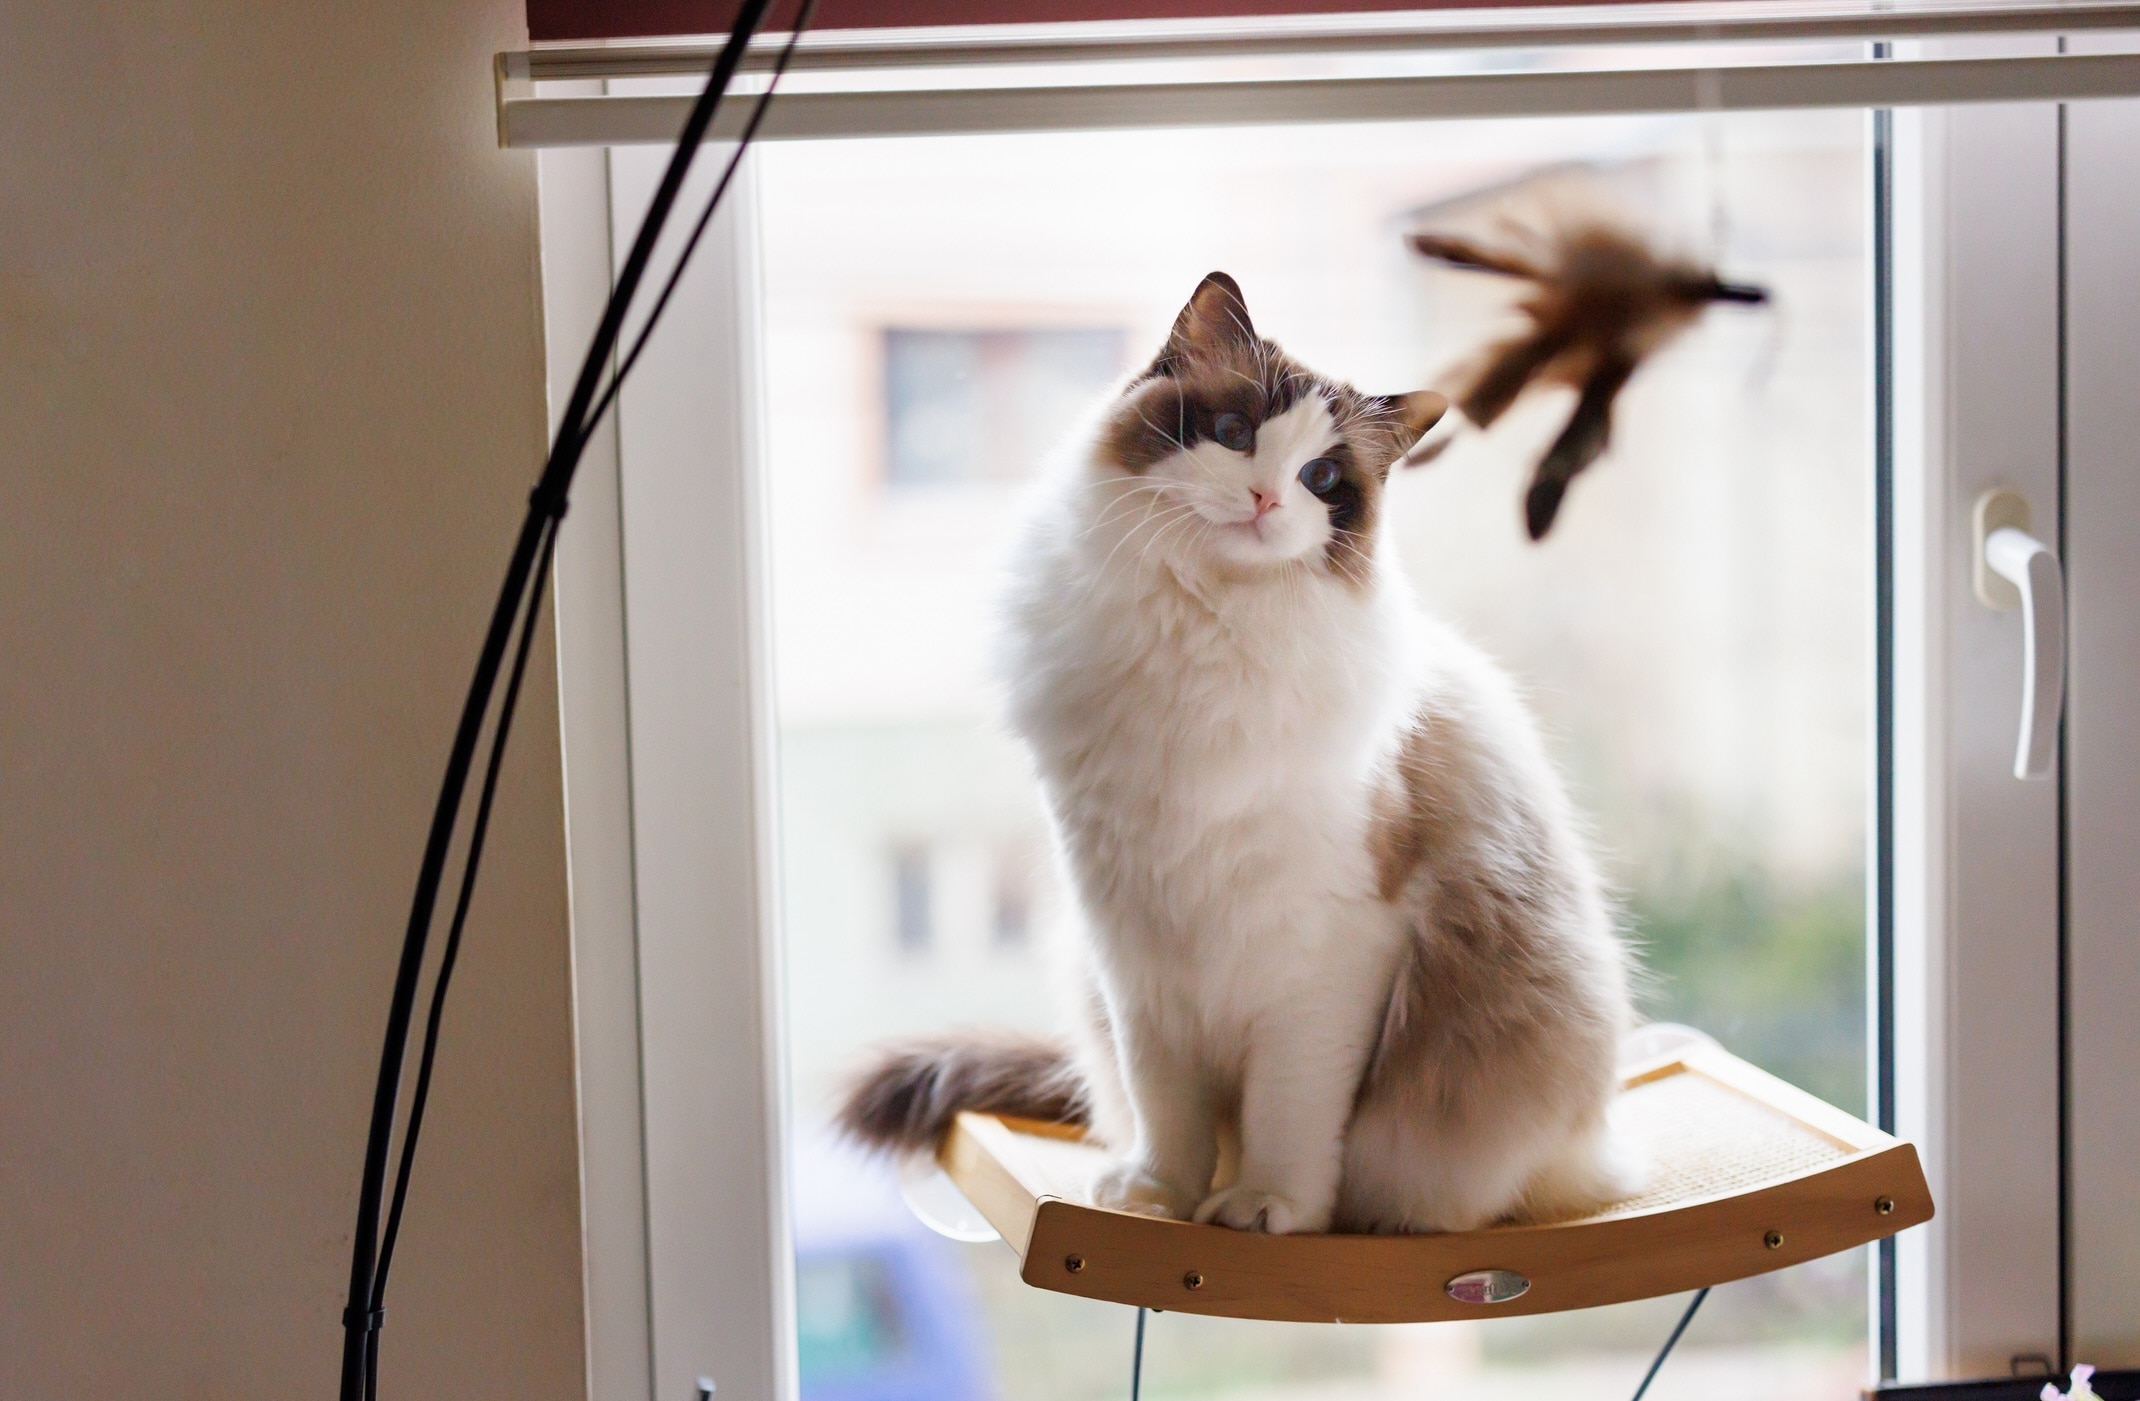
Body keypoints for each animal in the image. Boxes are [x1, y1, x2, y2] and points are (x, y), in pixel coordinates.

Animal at [838, 273, 1634, 1240]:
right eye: (1233, 432)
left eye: (1322, 480)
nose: (1264, 499)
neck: (1201, 645)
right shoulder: (1136, 953)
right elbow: (1166, 1109)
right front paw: (1159, 1203)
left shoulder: (1326, 960)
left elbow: (1287, 1114)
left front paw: (1265, 1210)